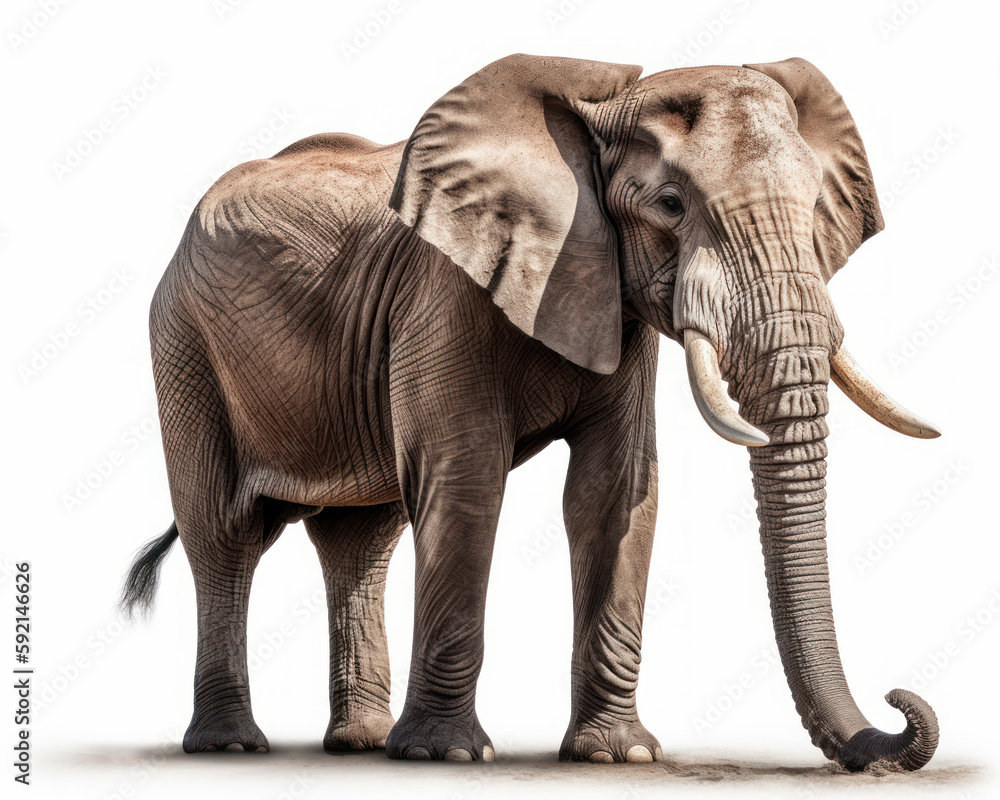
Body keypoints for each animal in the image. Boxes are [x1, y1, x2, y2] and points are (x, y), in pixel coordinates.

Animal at [122, 53, 942, 770]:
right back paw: (232, 746)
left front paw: (618, 756)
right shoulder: (442, 294)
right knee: (223, 534)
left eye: (815, 206)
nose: (898, 707)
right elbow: (466, 479)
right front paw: (446, 755)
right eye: (671, 205)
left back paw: (359, 743)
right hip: (182, 342)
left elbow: (617, 492)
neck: (599, 111)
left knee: (361, 539)